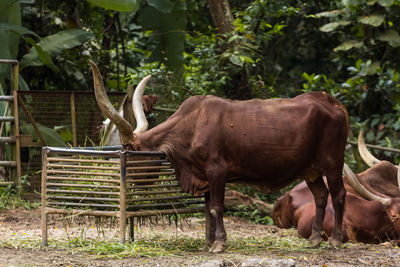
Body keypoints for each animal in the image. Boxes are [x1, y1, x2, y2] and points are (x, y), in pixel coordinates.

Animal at [89, 61, 348, 253]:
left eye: (131, 154)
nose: (126, 184)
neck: (190, 127)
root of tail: (333, 102)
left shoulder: (217, 172)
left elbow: (216, 207)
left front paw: (219, 243)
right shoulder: (202, 176)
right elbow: (208, 209)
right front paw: (209, 242)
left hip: (334, 164)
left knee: (338, 196)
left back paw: (336, 239)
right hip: (311, 171)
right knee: (321, 196)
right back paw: (315, 238)